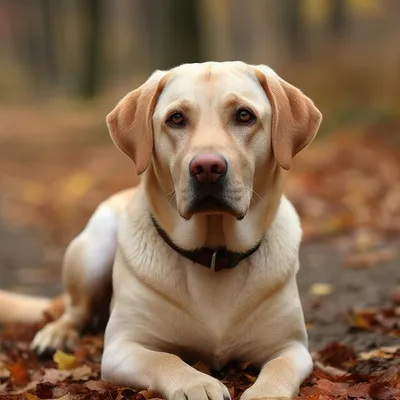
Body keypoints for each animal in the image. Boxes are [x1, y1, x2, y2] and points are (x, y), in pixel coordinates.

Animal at [0, 61, 320, 400]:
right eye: (176, 118)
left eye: (244, 115)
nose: (207, 168)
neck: (214, 253)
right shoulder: (122, 346)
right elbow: (165, 359)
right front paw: (198, 383)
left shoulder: (293, 347)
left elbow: (278, 369)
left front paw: (265, 393)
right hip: (92, 251)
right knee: (75, 310)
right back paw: (56, 334)